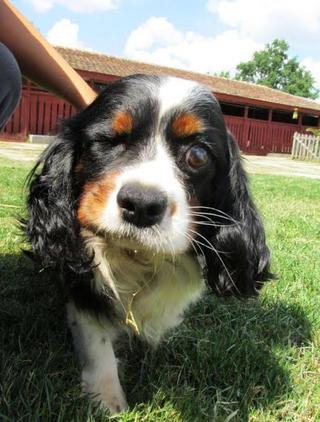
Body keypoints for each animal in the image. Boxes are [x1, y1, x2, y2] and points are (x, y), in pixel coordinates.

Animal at [25, 74, 272, 414]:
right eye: (109, 140)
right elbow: (95, 338)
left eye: (198, 155)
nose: (141, 204)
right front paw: (108, 399)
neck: (137, 256)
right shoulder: (81, 277)